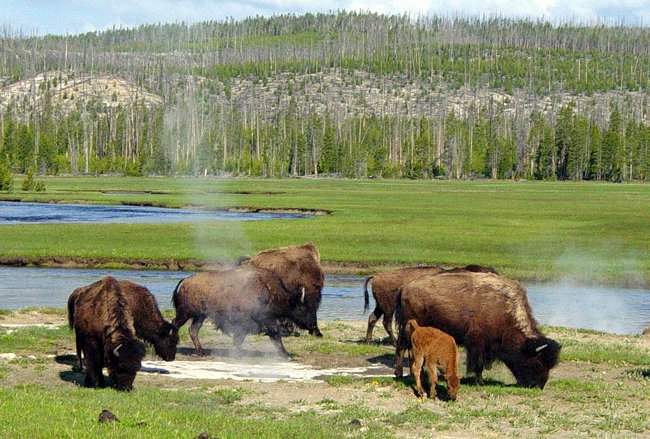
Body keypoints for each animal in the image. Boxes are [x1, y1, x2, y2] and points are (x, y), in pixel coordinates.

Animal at [173, 264, 320, 358]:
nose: (313, 326)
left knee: (193, 330)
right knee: (176, 324)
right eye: (303, 308)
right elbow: (275, 336)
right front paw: (287, 354)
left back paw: (201, 353)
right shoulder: (263, 321)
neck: (269, 290)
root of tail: (185, 281)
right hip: (185, 313)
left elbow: (241, 339)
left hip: (200, 316)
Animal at [362, 264, 494, 348]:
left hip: (381, 306)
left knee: (373, 318)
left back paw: (368, 341)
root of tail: (376, 276)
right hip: (389, 307)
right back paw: (393, 343)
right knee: (386, 322)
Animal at [392, 274, 560, 390]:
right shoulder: (478, 343)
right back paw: (399, 373)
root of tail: (404, 288)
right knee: (401, 347)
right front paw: (480, 381)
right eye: (538, 363)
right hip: (408, 329)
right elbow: (478, 364)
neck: (504, 311)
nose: (538, 386)